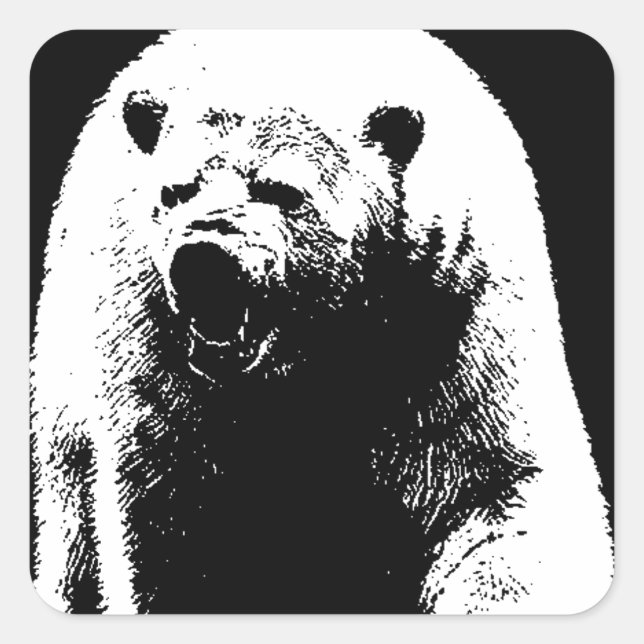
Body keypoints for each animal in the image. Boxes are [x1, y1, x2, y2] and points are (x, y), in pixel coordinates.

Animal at [30, 30, 613, 614]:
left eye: (281, 190)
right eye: (175, 192)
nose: (202, 257)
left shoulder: (449, 322)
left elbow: (495, 498)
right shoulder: (158, 358)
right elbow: (173, 527)